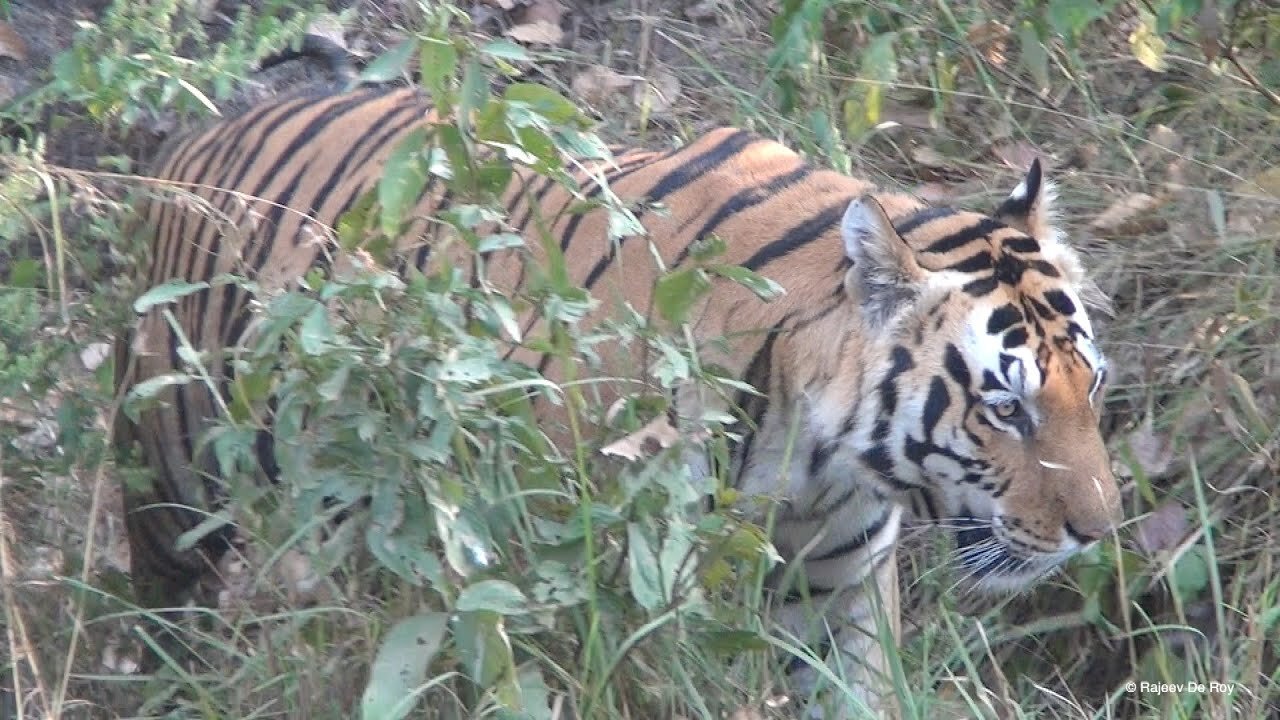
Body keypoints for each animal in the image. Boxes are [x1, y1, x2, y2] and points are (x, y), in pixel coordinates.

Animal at [117, 85, 1121, 712]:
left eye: (1092, 386)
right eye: (1004, 408)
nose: (1099, 533)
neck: (818, 450)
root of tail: (193, 139)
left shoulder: (836, 584)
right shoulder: (586, 593)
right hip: (171, 474)